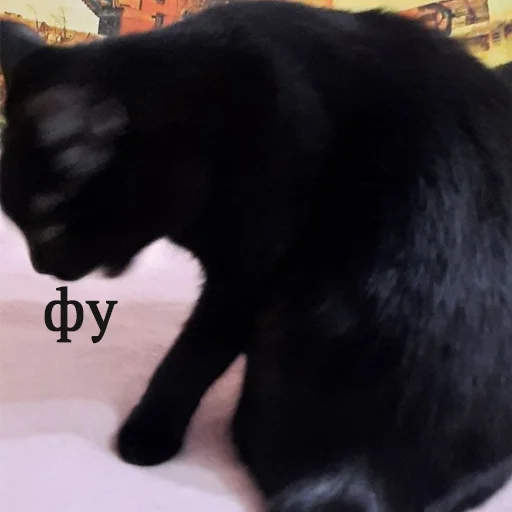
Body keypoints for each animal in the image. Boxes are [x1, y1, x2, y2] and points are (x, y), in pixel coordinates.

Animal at [2, 2, 512, 510]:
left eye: (49, 228)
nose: (41, 268)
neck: (192, 109)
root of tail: (362, 473)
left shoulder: (243, 281)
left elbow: (190, 359)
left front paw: (147, 434)